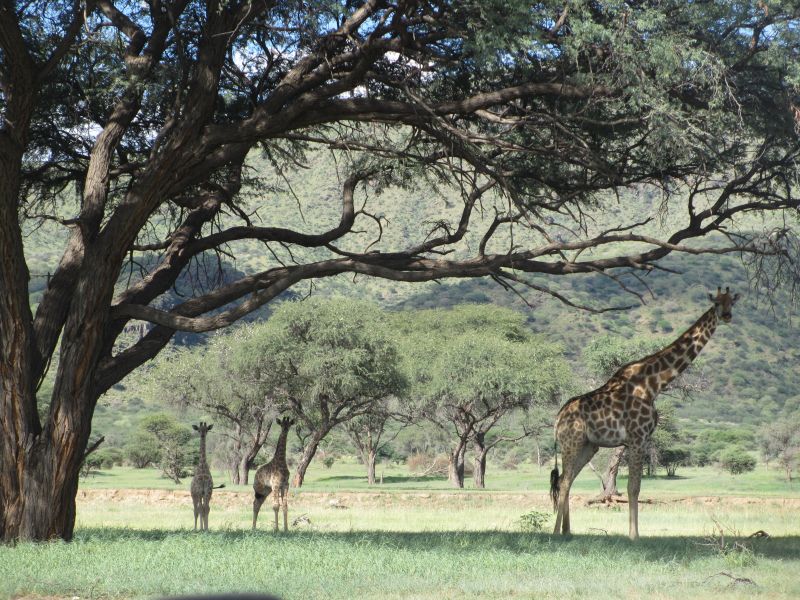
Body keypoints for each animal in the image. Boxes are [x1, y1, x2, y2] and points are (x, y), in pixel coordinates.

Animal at [552, 288, 740, 540]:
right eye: (717, 303)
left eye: (732, 303)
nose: (727, 316)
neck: (653, 384)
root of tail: (557, 420)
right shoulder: (636, 437)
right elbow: (634, 487)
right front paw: (634, 536)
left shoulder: (640, 439)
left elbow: (636, 487)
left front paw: (634, 533)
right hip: (571, 442)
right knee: (563, 482)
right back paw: (555, 532)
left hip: (588, 446)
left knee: (567, 479)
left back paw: (567, 531)